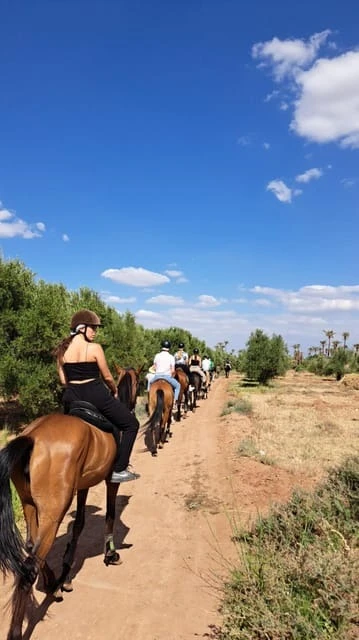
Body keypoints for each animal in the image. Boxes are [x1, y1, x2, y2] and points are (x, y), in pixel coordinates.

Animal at [0, 364, 141, 640]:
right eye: (140, 382)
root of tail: (31, 438)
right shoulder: (111, 482)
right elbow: (110, 515)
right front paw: (111, 554)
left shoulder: (83, 486)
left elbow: (79, 525)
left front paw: (66, 574)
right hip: (54, 510)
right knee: (28, 568)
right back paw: (17, 630)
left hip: (30, 504)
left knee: (32, 545)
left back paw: (52, 583)